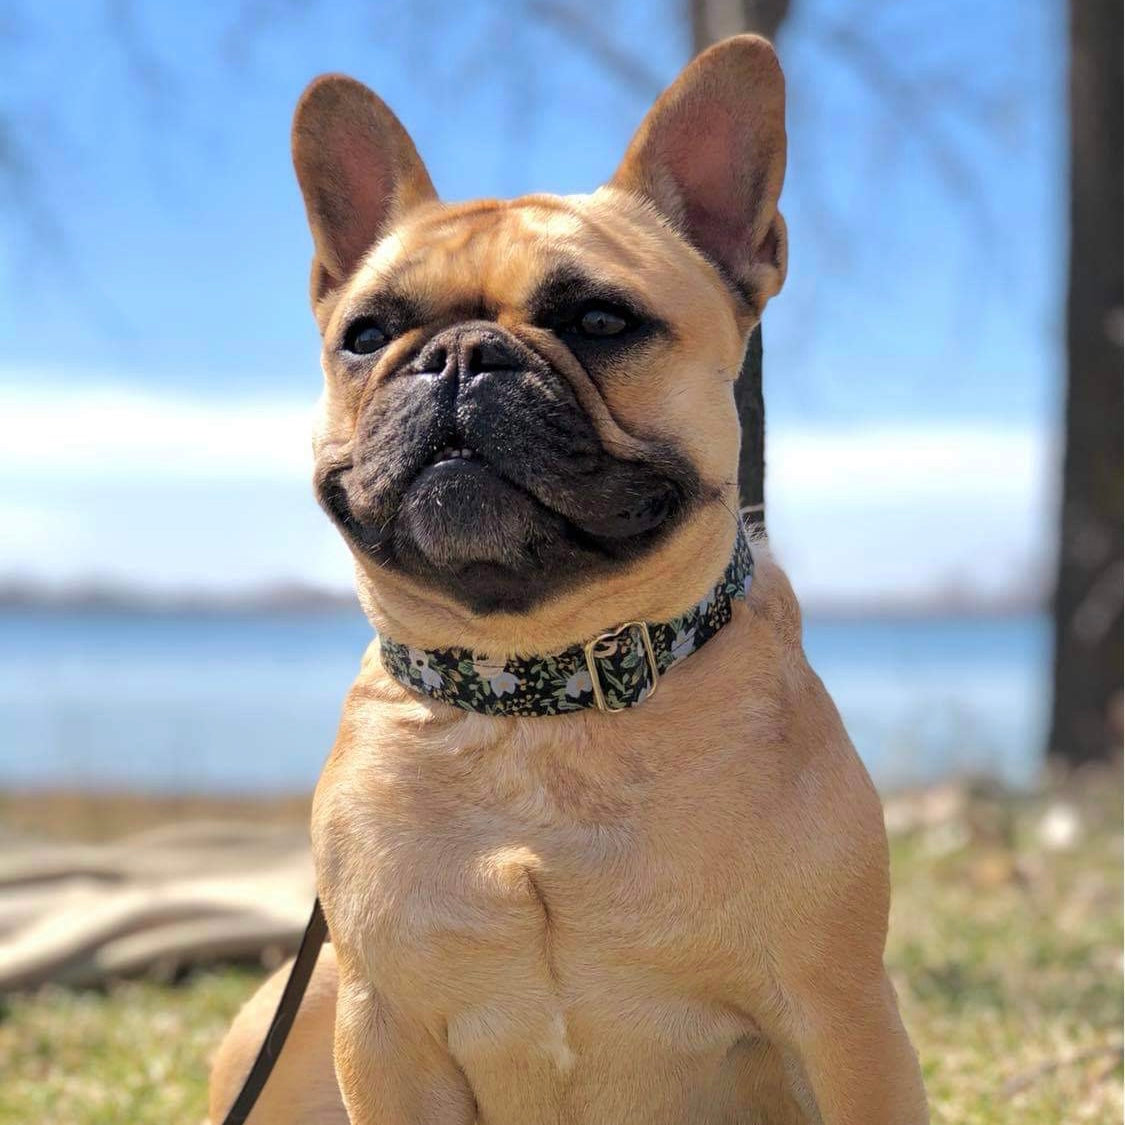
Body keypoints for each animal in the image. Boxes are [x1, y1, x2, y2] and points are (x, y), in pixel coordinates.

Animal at [211, 35, 931, 1125]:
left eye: (598, 319)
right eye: (367, 336)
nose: (458, 354)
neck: (534, 697)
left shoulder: (841, 1019)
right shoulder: (384, 1031)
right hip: (290, 1013)